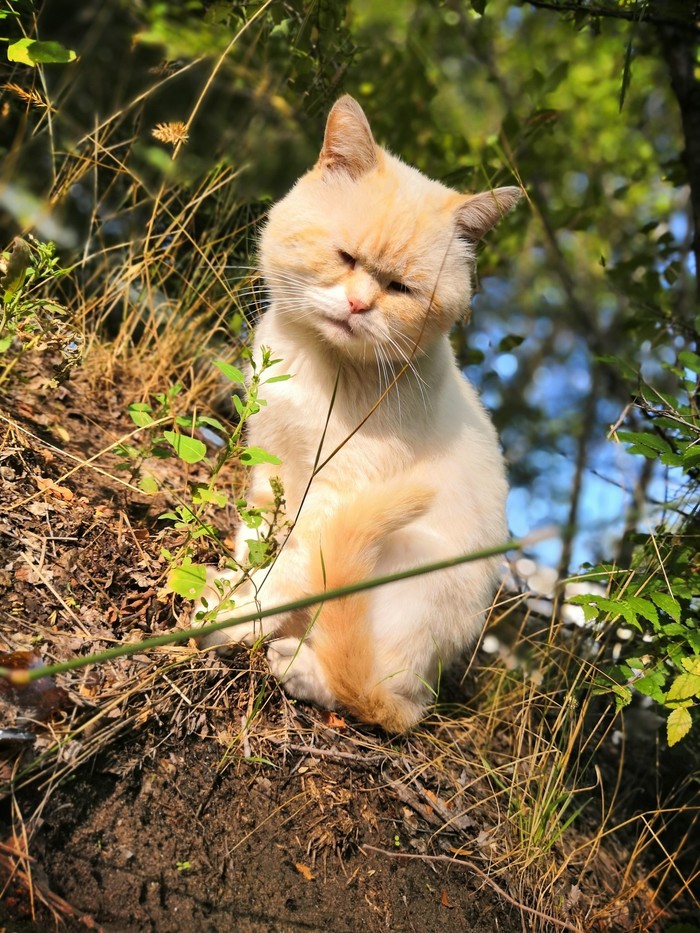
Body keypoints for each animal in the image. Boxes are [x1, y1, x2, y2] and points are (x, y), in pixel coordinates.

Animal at [196, 98, 520, 732]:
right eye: (345, 257)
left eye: (401, 288)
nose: (357, 304)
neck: (326, 369)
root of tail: (424, 689)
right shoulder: (272, 468)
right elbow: (256, 547)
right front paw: (235, 591)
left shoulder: (336, 497)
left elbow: (288, 575)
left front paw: (235, 620)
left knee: (367, 691)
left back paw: (301, 667)